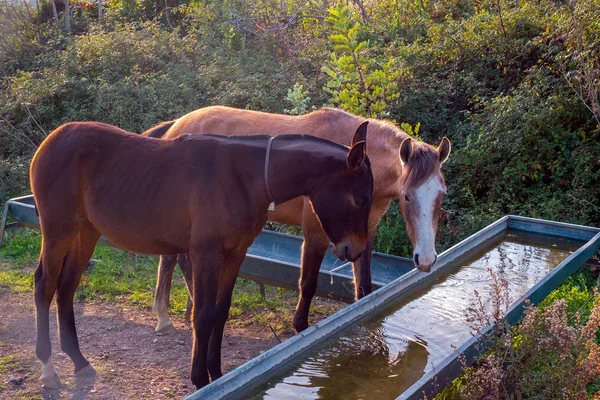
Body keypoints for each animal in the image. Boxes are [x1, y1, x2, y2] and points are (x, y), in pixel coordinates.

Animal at [142, 106, 450, 334]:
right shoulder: (315, 235)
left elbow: (364, 286)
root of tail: (176, 125)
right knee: (169, 261)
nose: (426, 260)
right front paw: (300, 325)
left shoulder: (365, 235)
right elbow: (308, 283)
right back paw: (165, 318)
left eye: (441, 194)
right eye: (407, 196)